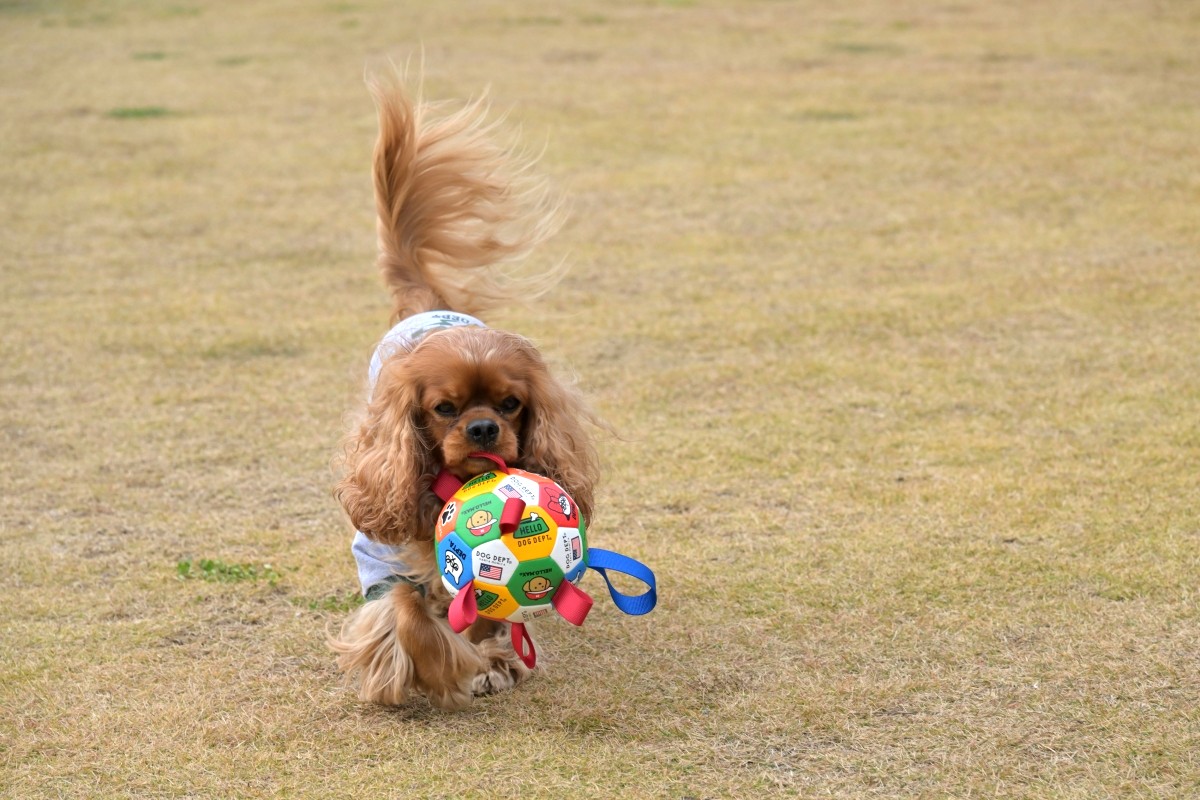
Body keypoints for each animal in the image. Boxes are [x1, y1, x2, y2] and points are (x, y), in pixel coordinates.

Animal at [328, 74, 602, 709]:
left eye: (511, 405)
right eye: (444, 408)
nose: (481, 429)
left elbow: (490, 605)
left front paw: (491, 660)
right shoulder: (383, 558)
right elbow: (405, 612)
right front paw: (438, 669)